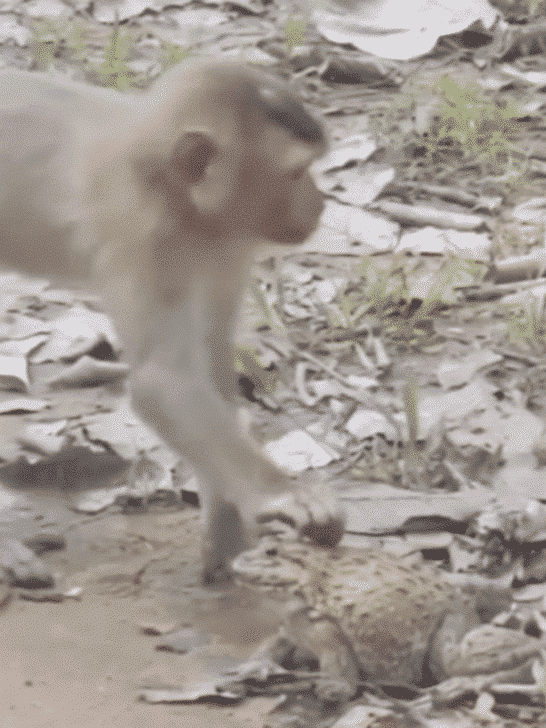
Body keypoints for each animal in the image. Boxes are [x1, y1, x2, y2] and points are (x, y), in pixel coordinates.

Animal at [0, 59, 343, 583]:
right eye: (297, 172)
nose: (320, 203)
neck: (168, 184)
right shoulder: (144, 238)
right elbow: (164, 381)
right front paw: (281, 495)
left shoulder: (228, 244)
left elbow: (213, 368)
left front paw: (226, 533)